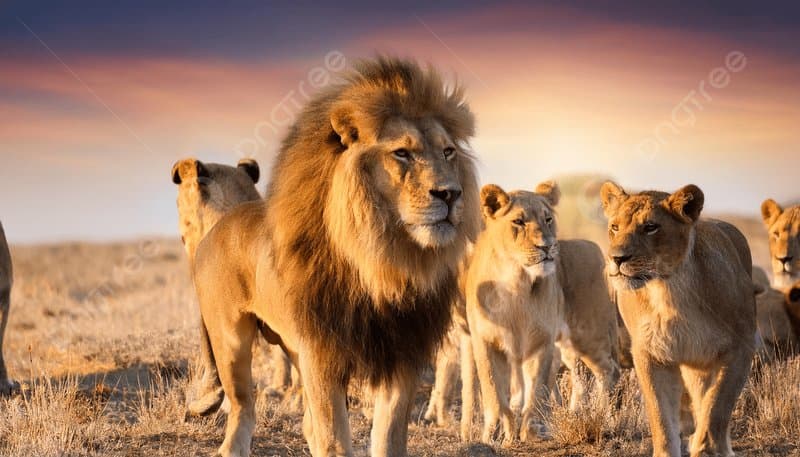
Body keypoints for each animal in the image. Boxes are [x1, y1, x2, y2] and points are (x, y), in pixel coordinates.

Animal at [192, 57, 479, 457]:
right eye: (402, 153)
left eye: (448, 151)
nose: (451, 194)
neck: (384, 261)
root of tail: (220, 224)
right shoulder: (321, 354)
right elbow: (334, 439)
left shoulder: (400, 355)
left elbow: (388, 438)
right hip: (230, 340)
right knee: (242, 410)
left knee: (304, 424)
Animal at [465, 181, 619, 445]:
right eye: (518, 221)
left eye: (548, 219)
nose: (546, 246)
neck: (515, 281)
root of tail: (593, 245)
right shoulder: (484, 340)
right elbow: (493, 389)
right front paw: (496, 433)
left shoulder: (540, 341)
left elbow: (537, 389)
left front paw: (533, 429)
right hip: (569, 346)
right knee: (579, 378)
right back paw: (575, 414)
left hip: (589, 337)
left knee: (608, 372)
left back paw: (605, 419)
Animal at [600, 181, 756, 457]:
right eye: (615, 227)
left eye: (650, 227)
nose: (616, 258)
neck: (669, 291)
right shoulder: (650, 354)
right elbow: (661, 420)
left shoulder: (741, 348)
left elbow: (716, 408)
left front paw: (706, 447)